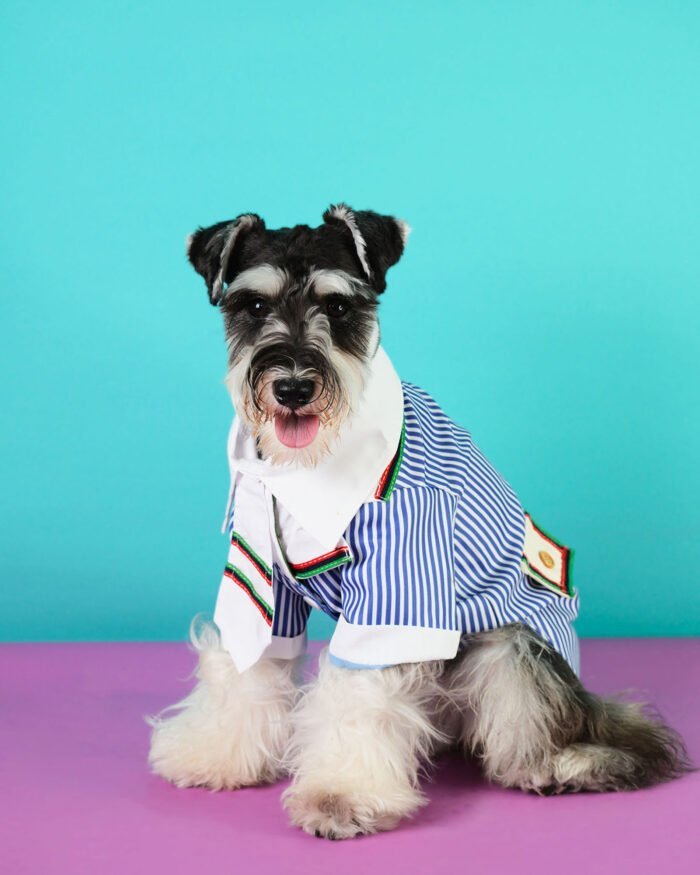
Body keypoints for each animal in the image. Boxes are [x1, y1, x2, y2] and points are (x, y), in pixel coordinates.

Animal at [148, 202, 688, 840]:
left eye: (339, 307)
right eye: (253, 306)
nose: (294, 387)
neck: (308, 467)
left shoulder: (398, 586)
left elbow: (358, 690)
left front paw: (340, 794)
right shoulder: (258, 579)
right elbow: (247, 663)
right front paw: (215, 752)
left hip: (510, 648)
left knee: (555, 720)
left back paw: (564, 764)